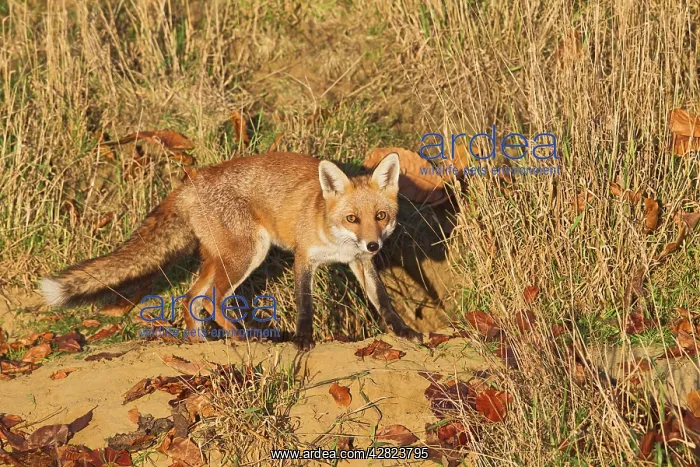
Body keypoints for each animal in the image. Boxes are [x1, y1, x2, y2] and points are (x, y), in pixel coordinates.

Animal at [39, 151, 423, 350]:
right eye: (352, 218)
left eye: (381, 216)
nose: (374, 243)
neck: (333, 235)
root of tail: (190, 183)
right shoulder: (304, 259)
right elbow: (305, 305)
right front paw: (303, 339)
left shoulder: (361, 262)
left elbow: (382, 300)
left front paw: (403, 331)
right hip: (246, 254)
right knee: (213, 299)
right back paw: (241, 336)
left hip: (219, 258)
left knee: (192, 297)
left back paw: (200, 344)